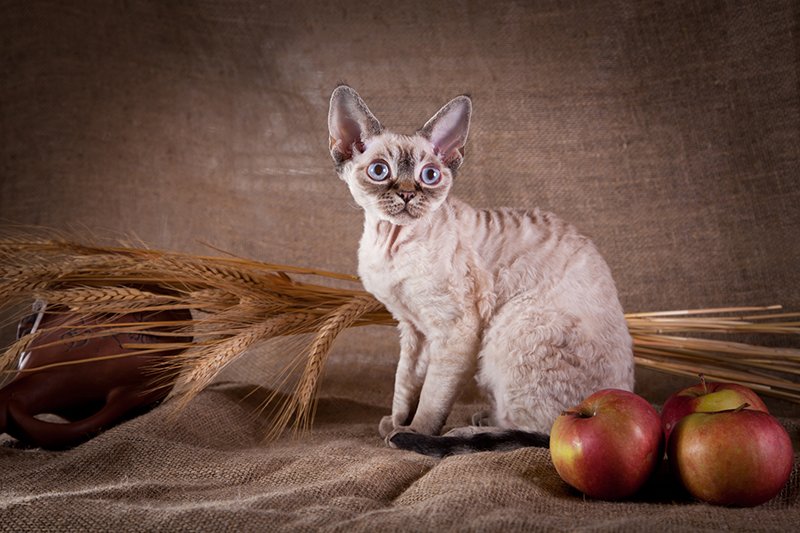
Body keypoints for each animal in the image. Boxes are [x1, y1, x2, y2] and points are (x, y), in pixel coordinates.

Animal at [328, 85, 636, 456]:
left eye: (429, 175)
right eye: (379, 170)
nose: (407, 194)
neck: (390, 243)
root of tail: (624, 392)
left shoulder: (454, 329)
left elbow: (432, 396)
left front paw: (413, 432)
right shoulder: (412, 329)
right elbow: (405, 383)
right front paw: (396, 422)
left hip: (509, 328)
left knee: (541, 432)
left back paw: (464, 432)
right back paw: (481, 418)